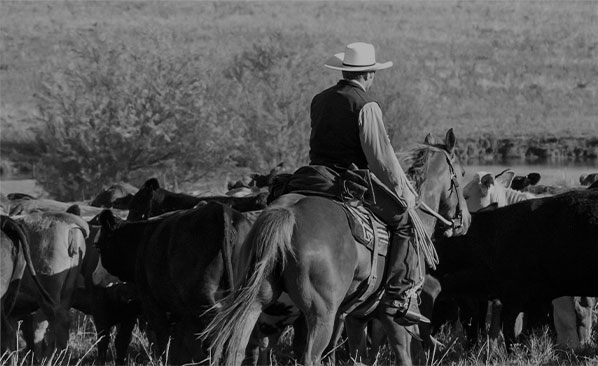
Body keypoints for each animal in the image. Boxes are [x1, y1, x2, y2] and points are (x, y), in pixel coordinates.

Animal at [202, 129, 474, 366]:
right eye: (461, 174)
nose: (466, 220)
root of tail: (286, 214)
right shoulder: (394, 317)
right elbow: (404, 356)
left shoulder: (357, 317)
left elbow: (359, 357)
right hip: (321, 314)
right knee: (309, 356)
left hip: (260, 304)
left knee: (238, 349)